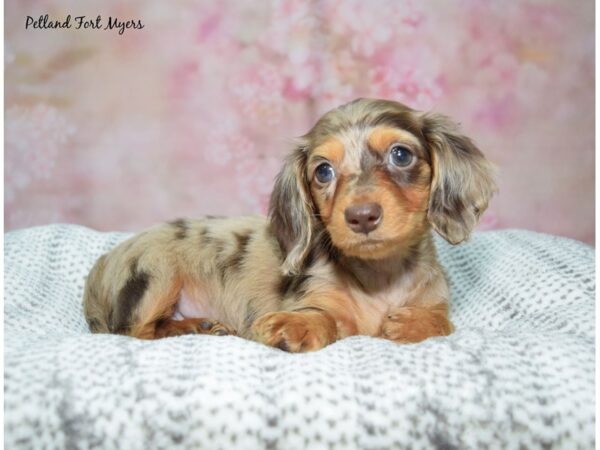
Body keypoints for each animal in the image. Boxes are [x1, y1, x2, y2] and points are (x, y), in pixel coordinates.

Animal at [84, 98, 496, 352]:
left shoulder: (436, 299)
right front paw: (297, 327)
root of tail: (101, 265)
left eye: (401, 154)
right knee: (134, 332)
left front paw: (413, 324)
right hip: (157, 272)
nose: (361, 216)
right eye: (323, 171)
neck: (381, 276)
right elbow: (323, 316)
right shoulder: (314, 298)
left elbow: (443, 321)